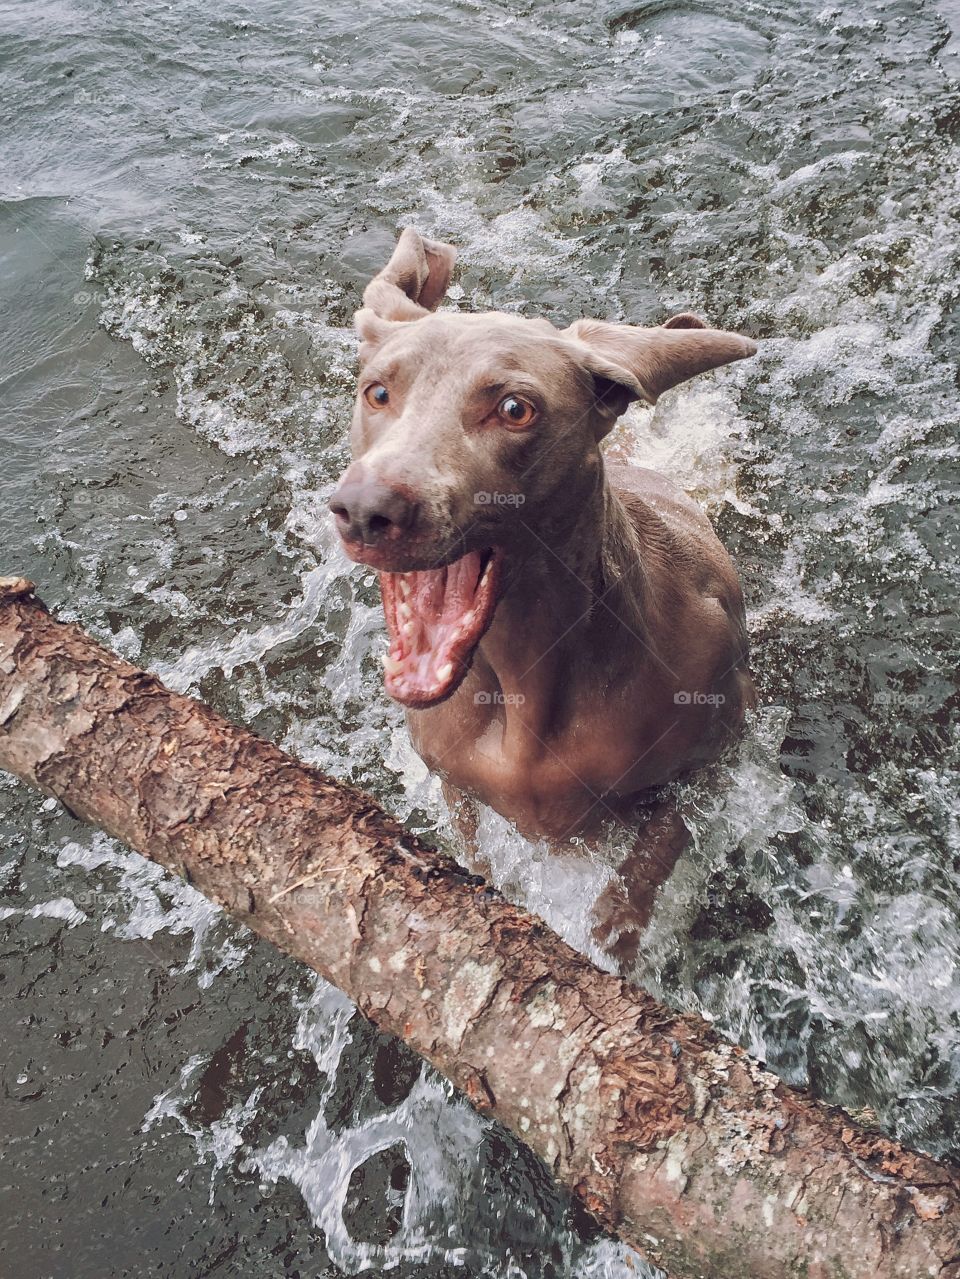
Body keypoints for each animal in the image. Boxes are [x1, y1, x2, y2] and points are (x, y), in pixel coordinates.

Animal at [332, 225, 756, 956]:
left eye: (514, 409)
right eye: (377, 393)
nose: (364, 510)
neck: (523, 681)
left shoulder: (719, 740)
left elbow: (663, 836)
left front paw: (618, 926)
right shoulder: (453, 778)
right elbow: (472, 850)